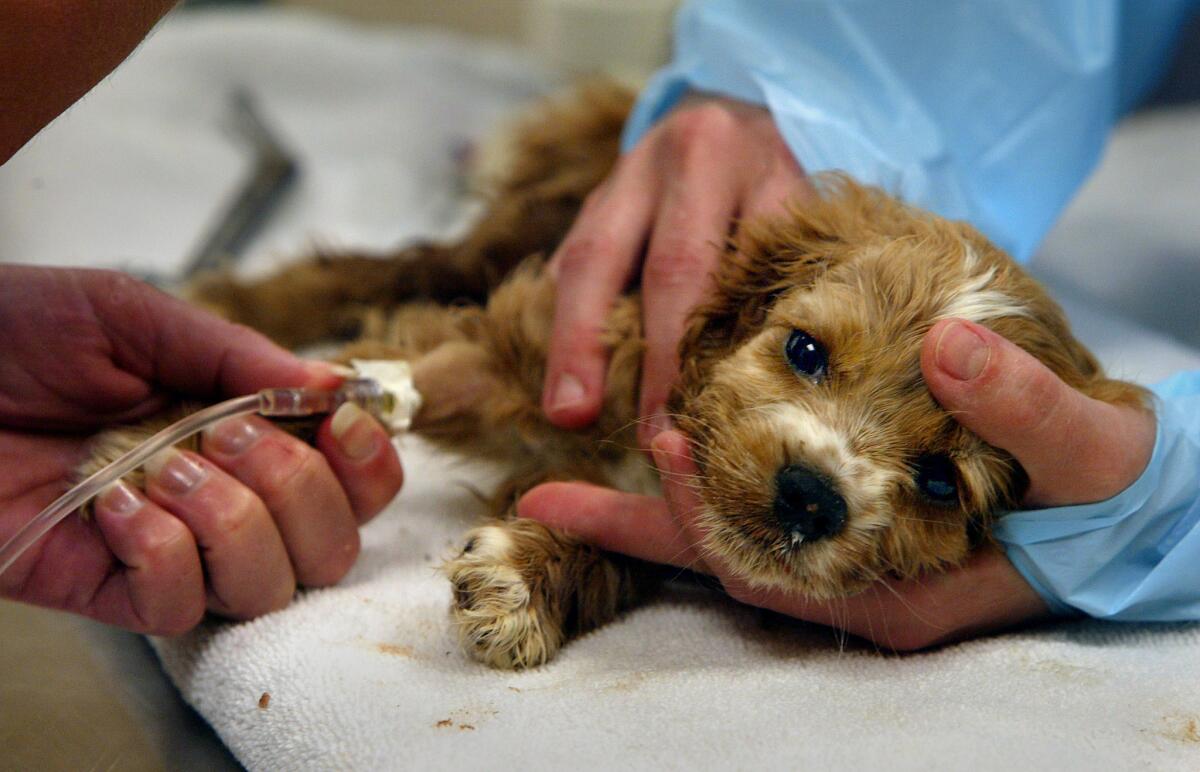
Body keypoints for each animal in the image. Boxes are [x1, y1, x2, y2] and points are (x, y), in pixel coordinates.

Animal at [88, 82, 1147, 662]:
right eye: (805, 350)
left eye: (938, 482)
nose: (809, 496)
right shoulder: (557, 345)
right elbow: (393, 378)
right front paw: (156, 458)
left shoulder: (672, 527)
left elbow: (620, 541)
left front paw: (522, 581)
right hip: (519, 233)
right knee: (391, 267)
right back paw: (230, 298)